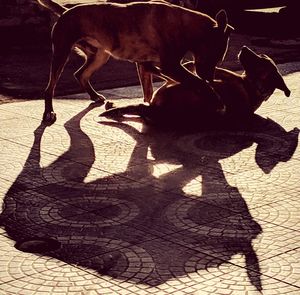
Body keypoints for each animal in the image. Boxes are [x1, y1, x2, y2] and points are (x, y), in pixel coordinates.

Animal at [37, 0, 233, 122]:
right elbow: (196, 81)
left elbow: (150, 91)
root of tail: (66, 11)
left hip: (100, 55)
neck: (185, 24)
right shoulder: (169, 66)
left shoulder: (148, 65)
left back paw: (94, 96)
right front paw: (217, 100)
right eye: (215, 56)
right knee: (49, 88)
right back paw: (49, 112)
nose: (211, 78)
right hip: (61, 53)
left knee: (81, 74)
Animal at [100, 46, 290, 128]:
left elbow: (205, 71)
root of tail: (156, 111)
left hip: (174, 89)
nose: (243, 47)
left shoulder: (219, 76)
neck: (253, 86)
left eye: (260, 59)